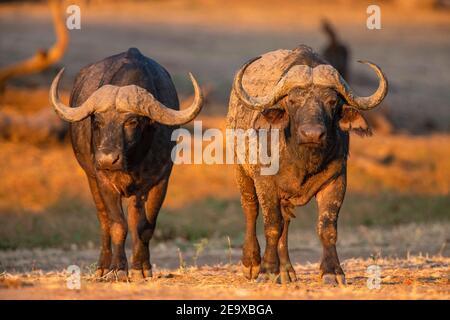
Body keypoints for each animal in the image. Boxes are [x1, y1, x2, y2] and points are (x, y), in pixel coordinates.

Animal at [49, 47, 204, 280]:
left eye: (131, 121)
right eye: (97, 121)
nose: (107, 159)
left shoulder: (159, 180)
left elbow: (143, 226)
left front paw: (141, 268)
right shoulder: (103, 181)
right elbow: (117, 225)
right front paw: (119, 269)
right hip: (91, 178)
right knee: (104, 220)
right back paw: (103, 266)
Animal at [227, 45, 388, 284]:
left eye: (332, 101)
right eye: (293, 101)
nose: (312, 134)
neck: (302, 160)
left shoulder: (337, 180)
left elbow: (326, 226)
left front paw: (332, 271)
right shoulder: (265, 182)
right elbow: (271, 225)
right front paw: (267, 270)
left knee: (286, 222)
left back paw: (286, 271)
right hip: (241, 170)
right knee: (250, 209)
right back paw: (252, 263)